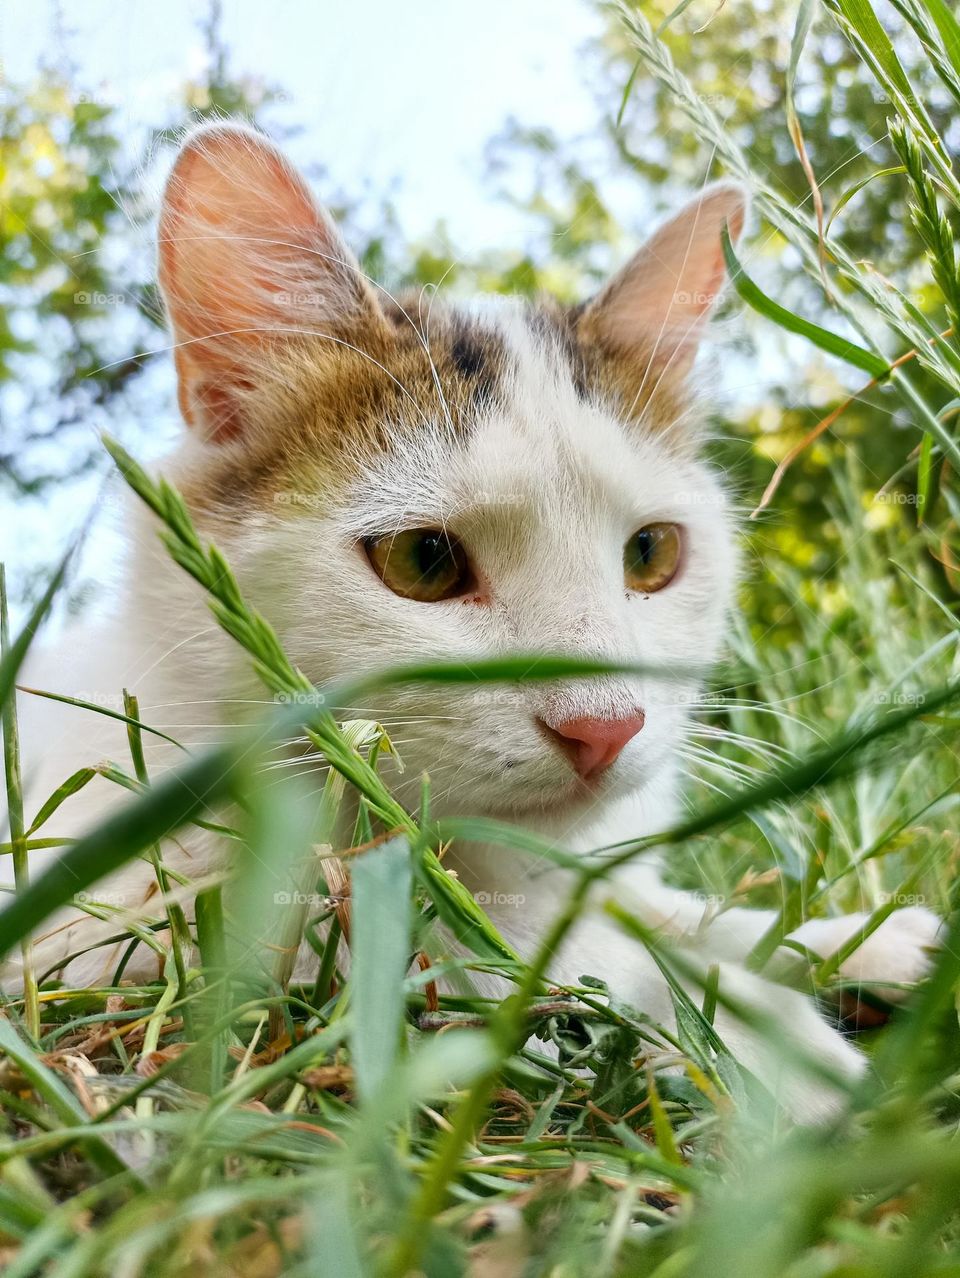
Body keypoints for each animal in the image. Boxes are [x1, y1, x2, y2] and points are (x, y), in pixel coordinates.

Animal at [3, 122, 940, 1119]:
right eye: (424, 561)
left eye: (651, 554)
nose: (606, 728)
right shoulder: (131, 933)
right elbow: (574, 960)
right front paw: (794, 1054)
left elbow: (659, 910)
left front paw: (871, 943)